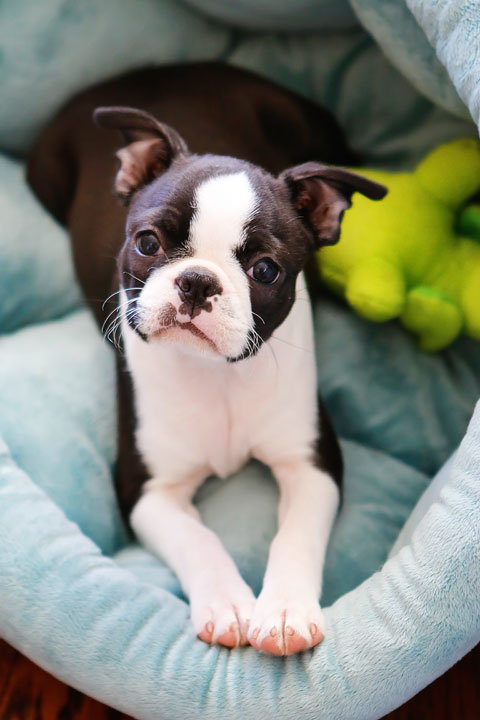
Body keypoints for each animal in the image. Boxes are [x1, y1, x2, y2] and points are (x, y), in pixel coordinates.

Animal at [28, 63, 386, 660]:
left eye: (265, 270)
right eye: (148, 243)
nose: (197, 281)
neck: (216, 375)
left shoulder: (312, 463)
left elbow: (296, 536)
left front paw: (284, 611)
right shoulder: (147, 490)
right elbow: (199, 539)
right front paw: (227, 605)